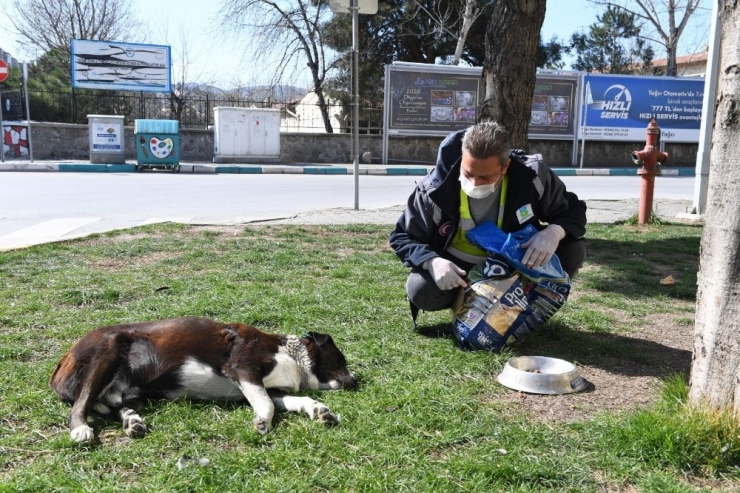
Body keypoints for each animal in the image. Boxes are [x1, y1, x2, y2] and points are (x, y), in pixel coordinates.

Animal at [49, 318, 356, 444]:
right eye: (340, 359)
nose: (355, 381)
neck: (291, 355)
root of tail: (61, 362)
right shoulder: (242, 368)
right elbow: (266, 405)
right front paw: (262, 423)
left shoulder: (264, 387)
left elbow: (295, 398)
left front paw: (319, 410)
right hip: (108, 349)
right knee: (80, 404)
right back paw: (81, 429)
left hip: (130, 392)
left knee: (116, 404)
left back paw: (132, 421)